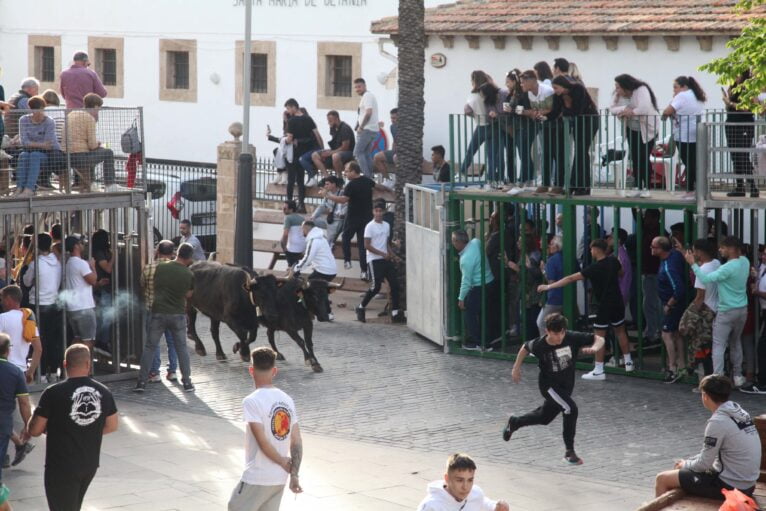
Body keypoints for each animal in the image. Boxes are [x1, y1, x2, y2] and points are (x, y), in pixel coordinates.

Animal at [186, 262, 336, 374]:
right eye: (314, 295)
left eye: (326, 296)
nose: (324, 316)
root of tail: (191, 266)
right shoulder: (231, 319)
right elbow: (300, 342)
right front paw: (243, 352)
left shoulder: (305, 324)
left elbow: (309, 343)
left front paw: (316, 363)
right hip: (189, 305)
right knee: (192, 324)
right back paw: (199, 346)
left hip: (214, 314)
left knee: (215, 332)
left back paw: (221, 354)